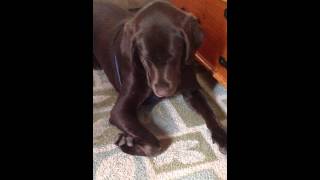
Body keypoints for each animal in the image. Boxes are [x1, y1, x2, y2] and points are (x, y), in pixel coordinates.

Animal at [93, 0, 228, 156]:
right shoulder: (120, 111)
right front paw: (127, 142)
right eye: (146, 59)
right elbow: (154, 145)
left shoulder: (193, 90)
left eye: (173, 57)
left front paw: (221, 135)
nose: (162, 92)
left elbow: (210, 113)